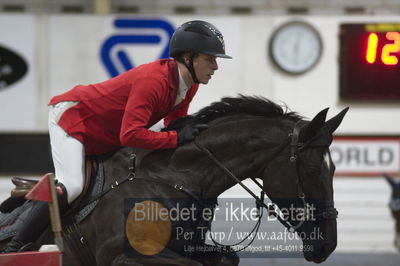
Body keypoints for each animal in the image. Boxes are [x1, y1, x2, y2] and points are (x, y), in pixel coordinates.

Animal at [0, 96, 346, 264]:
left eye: (333, 171)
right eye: (313, 171)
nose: (328, 246)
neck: (173, 176)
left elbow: (226, 258)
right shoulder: (126, 257)